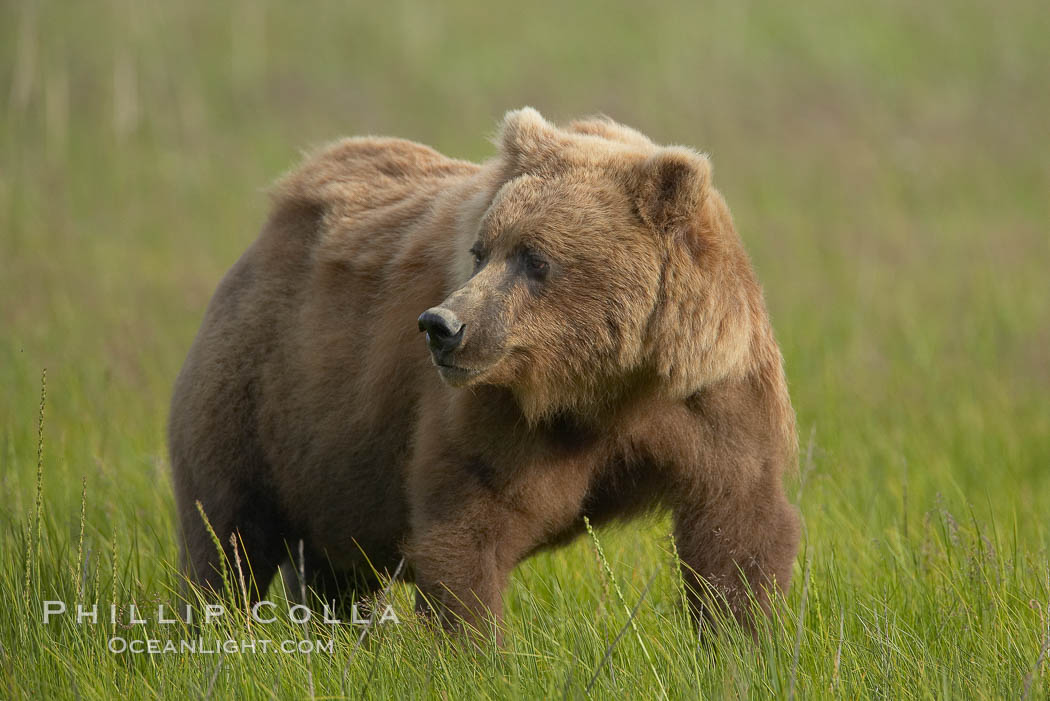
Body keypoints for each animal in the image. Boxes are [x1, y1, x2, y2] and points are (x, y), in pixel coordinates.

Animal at [168, 107, 797, 638]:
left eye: (536, 259)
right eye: (481, 250)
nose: (442, 325)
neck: (605, 388)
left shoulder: (711, 401)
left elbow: (737, 528)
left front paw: (740, 639)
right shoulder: (491, 414)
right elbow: (469, 529)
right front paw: (475, 649)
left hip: (330, 460)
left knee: (336, 571)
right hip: (257, 396)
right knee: (226, 536)